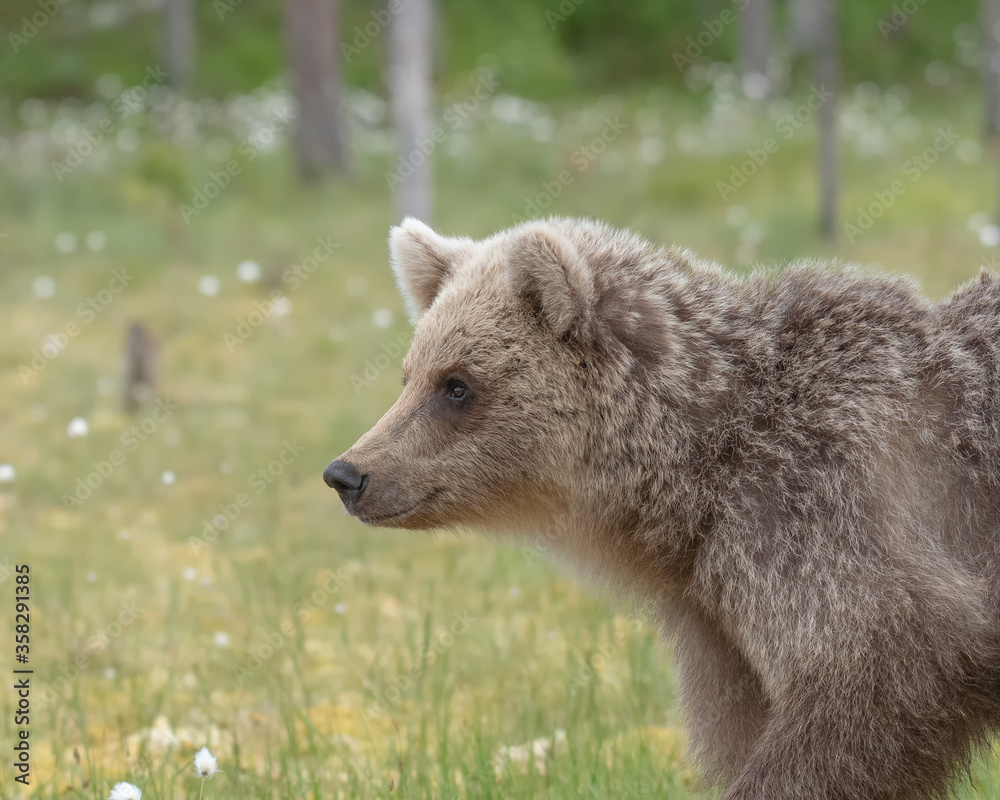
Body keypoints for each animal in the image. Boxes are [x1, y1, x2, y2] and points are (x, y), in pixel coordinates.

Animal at [324, 217, 1000, 800]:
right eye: (409, 375)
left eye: (457, 384)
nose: (347, 473)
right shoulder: (718, 630)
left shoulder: (828, 516)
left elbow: (878, 676)